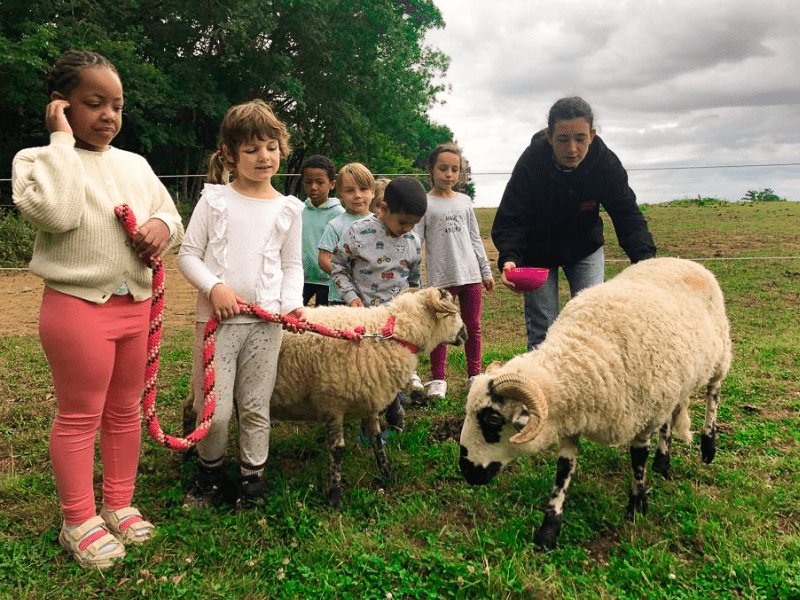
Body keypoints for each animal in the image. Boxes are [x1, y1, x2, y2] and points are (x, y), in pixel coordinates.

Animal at [456, 258, 732, 548]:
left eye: (492, 418)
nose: (466, 470)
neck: (583, 352)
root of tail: (680, 261)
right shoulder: (569, 422)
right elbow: (563, 471)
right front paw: (549, 529)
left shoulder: (642, 421)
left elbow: (638, 462)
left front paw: (636, 507)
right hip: (673, 384)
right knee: (669, 420)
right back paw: (662, 461)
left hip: (719, 356)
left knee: (713, 394)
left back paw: (708, 445)